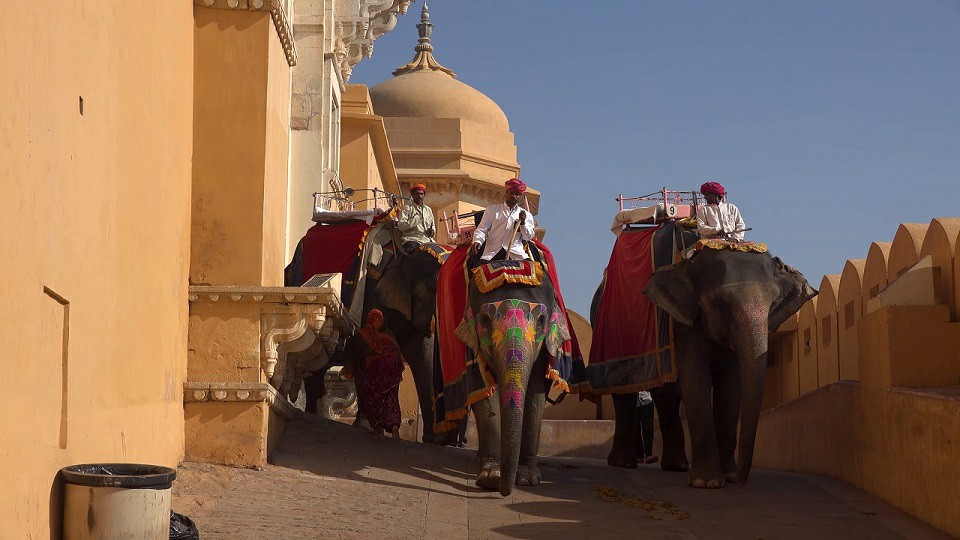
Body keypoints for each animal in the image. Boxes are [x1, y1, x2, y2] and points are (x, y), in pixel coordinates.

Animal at [640, 251, 812, 488]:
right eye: (717, 302)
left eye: (773, 303)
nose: (741, 480)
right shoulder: (684, 328)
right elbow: (695, 381)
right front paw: (705, 482)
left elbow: (732, 388)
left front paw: (728, 476)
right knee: (666, 400)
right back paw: (676, 466)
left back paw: (678, 466)